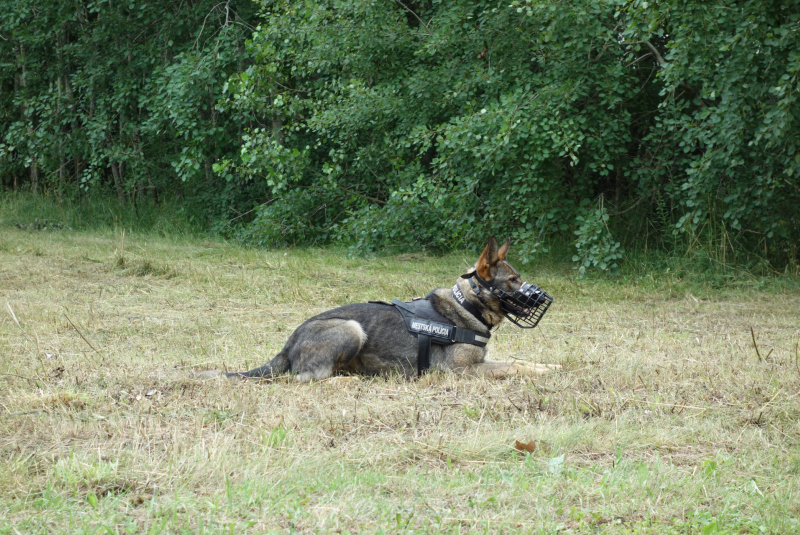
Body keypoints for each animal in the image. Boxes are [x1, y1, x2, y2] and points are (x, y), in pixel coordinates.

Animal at [216, 238, 560, 382]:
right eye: (513, 281)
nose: (544, 297)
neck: (467, 305)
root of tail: (288, 344)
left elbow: (519, 360)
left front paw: (551, 366)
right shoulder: (462, 371)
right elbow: (512, 367)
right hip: (352, 329)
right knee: (307, 378)